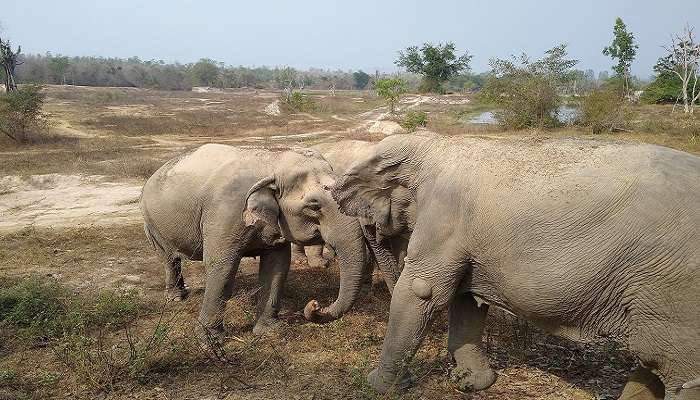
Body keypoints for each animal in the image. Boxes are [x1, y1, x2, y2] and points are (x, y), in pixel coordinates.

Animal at [142, 144, 372, 338]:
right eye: (314, 206)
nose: (314, 304)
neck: (272, 162)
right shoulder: (225, 214)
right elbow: (221, 266)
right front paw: (210, 341)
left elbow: (277, 265)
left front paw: (269, 332)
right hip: (151, 222)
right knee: (168, 258)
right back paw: (176, 298)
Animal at [332, 134, 700, 400]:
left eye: (367, 221)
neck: (433, 145)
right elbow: (466, 300)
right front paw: (471, 383)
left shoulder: (444, 216)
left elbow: (422, 292)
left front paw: (377, 386)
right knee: (658, 363)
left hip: (673, 286)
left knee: (673, 366)